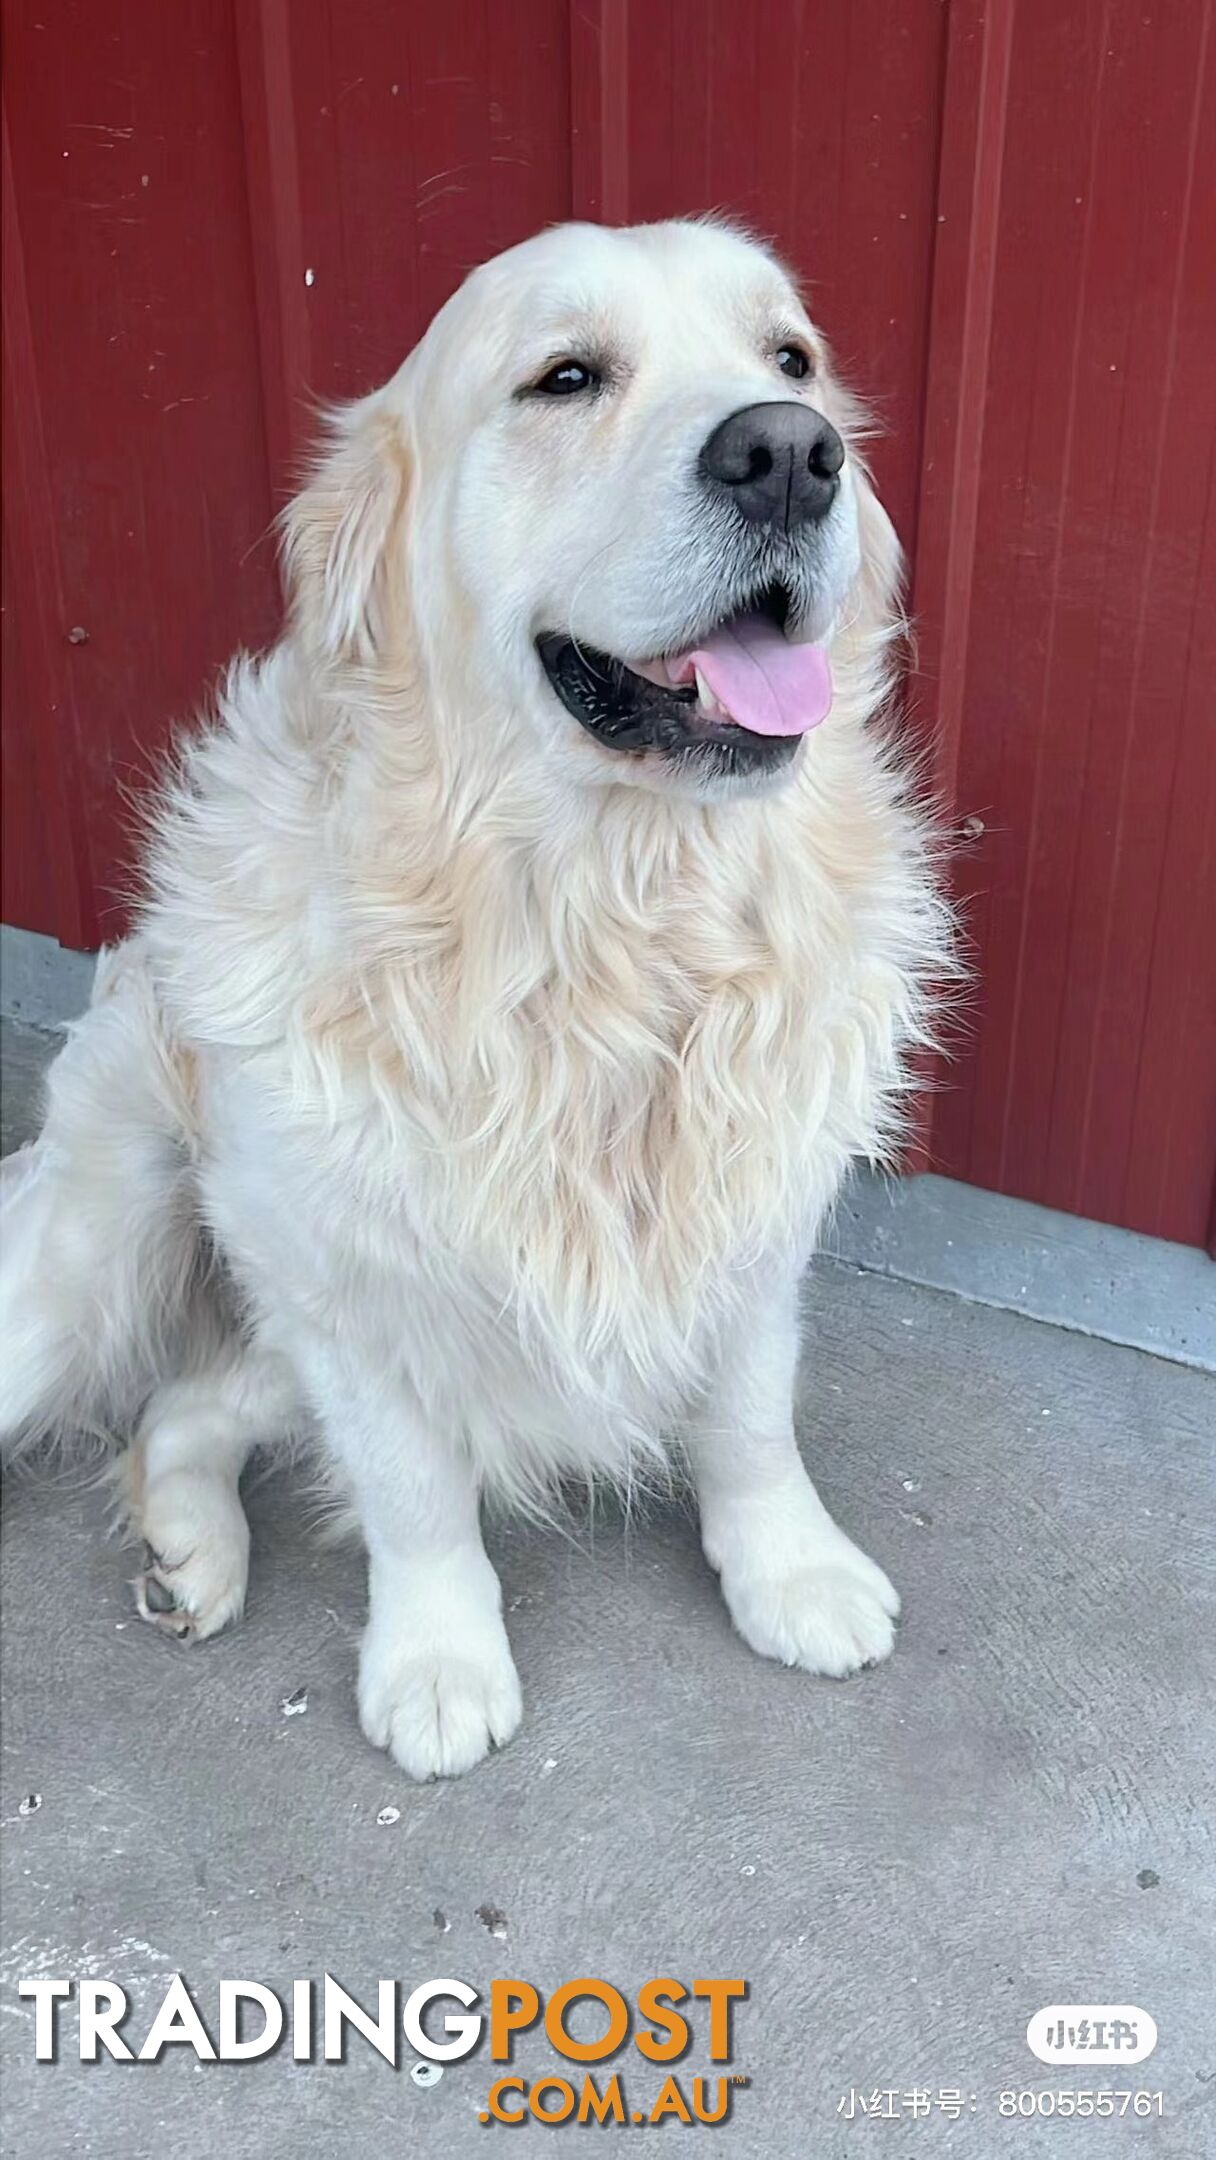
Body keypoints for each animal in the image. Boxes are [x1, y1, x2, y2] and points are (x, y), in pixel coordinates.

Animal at [0, 219, 950, 1779]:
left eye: (792, 358)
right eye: (564, 378)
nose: (791, 454)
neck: (600, 925)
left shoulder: (757, 1226)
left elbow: (751, 1420)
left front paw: (791, 1570)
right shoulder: (343, 1287)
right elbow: (416, 1493)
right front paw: (439, 1662)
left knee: (182, 1405)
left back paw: (191, 1553)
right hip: (95, 1249)